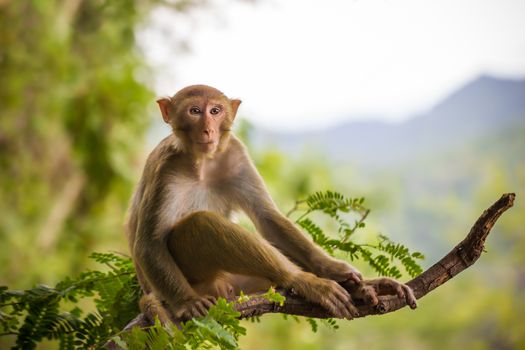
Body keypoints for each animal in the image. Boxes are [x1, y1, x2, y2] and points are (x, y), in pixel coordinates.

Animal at [125, 85, 416, 322]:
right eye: (195, 111)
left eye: (215, 111)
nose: (208, 129)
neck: (202, 162)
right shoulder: (166, 169)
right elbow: (150, 243)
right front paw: (187, 302)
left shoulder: (236, 154)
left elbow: (267, 218)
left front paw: (331, 268)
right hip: (199, 280)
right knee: (201, 224)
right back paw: (305, 282)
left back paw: (360, 287)